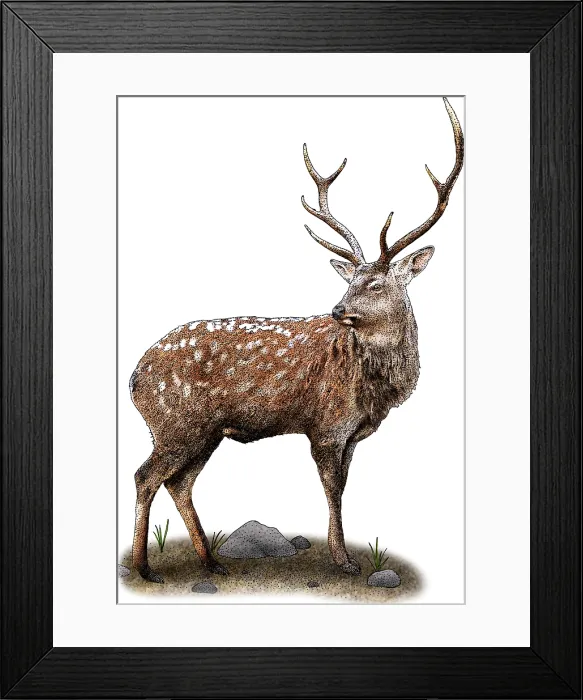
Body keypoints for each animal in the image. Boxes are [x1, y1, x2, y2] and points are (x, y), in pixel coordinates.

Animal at [130, 97, 464, 583]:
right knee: (146, 476)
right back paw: (143, 567)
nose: (338, 310)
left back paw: (211, 561)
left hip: (203, 432)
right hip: (175, 423)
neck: (373, 389)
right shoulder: (326, 425)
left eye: (376, 284)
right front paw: (343, 560)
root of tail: (133, 377)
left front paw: (342, 555)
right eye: (351, 281)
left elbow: (343, 485)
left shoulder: (351, 434)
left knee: (179, 482)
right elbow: (333, 488)